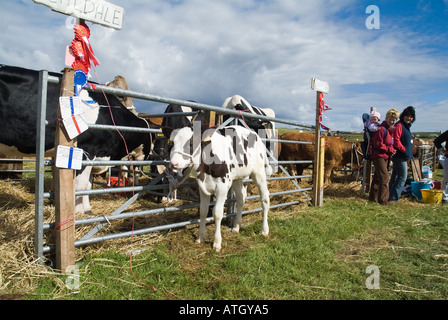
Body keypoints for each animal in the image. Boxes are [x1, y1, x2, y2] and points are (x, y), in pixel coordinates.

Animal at [0, 64, 154, 215]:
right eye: (121, 95)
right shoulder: (86, 151)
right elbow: (80, 186)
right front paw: (79, 212)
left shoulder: (96, 156)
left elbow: (88, 185)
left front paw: (86, 209)